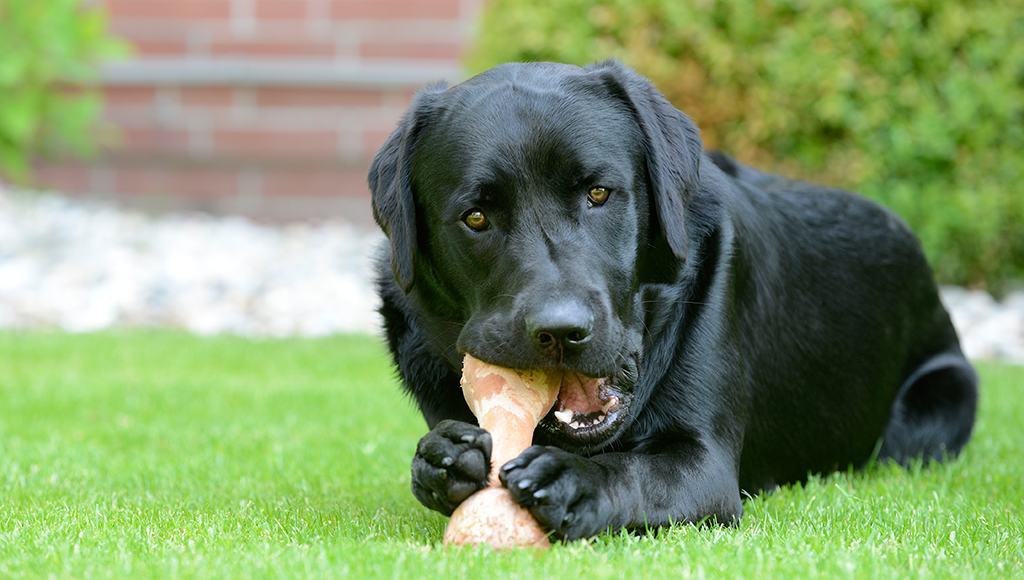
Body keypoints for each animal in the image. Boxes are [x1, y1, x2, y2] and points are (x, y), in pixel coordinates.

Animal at [366, 61, 974, 545]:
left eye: (598, 193)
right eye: (476, 216)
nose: (561, 331)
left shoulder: (705, 464)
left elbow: (633, 471)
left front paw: (572, 480)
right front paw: (443, 458)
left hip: (945, 398)